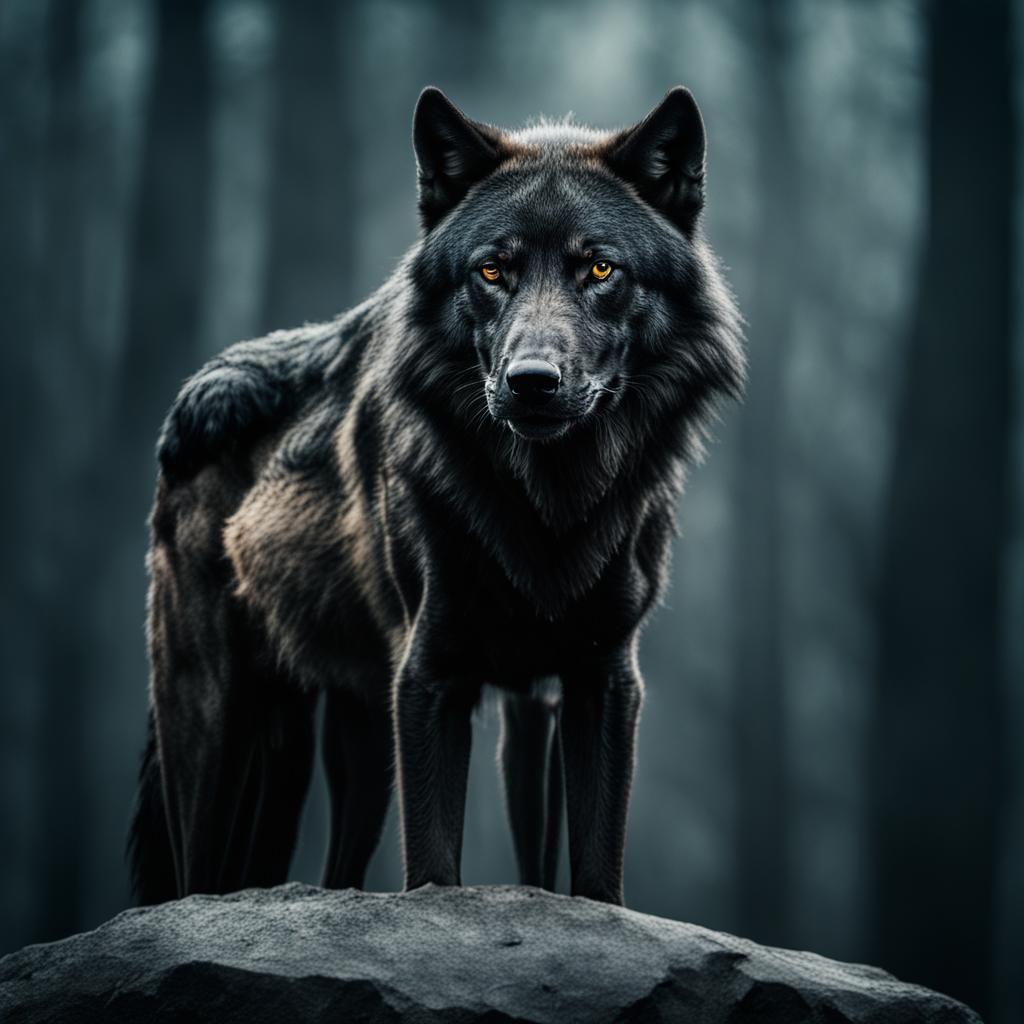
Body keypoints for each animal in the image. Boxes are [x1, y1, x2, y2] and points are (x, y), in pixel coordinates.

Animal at [128, 86, 744, 907]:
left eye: (600, 268)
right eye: (491, 272)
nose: (532, 381)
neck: (547, 510)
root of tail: (185, 408)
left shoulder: (594, 682)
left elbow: (588, 872)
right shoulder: (430, 675)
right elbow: (433, 866)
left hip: (331, 742)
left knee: (334, 870)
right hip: (220, 734)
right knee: (199, 878)